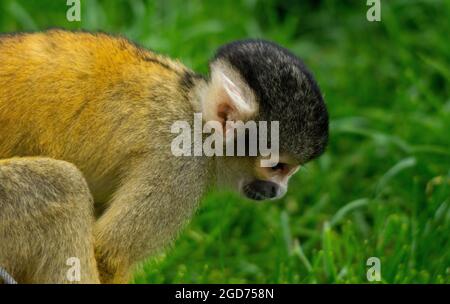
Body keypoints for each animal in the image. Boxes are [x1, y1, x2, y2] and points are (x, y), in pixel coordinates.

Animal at [0, 29, 330, 284]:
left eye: (290, 171)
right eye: (277, 167)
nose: (278, 191)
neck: (196, 115)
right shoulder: (183, 162)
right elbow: (109, 253)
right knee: (62, 184)